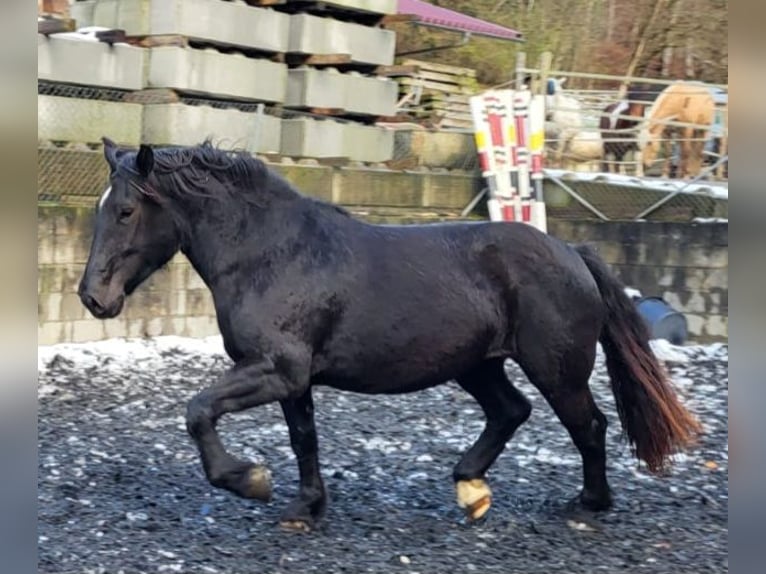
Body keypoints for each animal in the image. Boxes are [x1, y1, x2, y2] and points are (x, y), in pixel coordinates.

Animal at [78, 141, 704, 536]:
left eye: (127, 210)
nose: (92, 297)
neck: (270, 255)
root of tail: (572, 251)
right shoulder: (293, 379)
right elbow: (304, 440)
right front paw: (305, 507)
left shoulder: (275, 368)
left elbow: (199, 410)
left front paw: (249, 480)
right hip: (477, 364)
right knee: (511, 411)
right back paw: (470, 489)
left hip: (555, 368)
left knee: (588, 426)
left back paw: (587, 504)